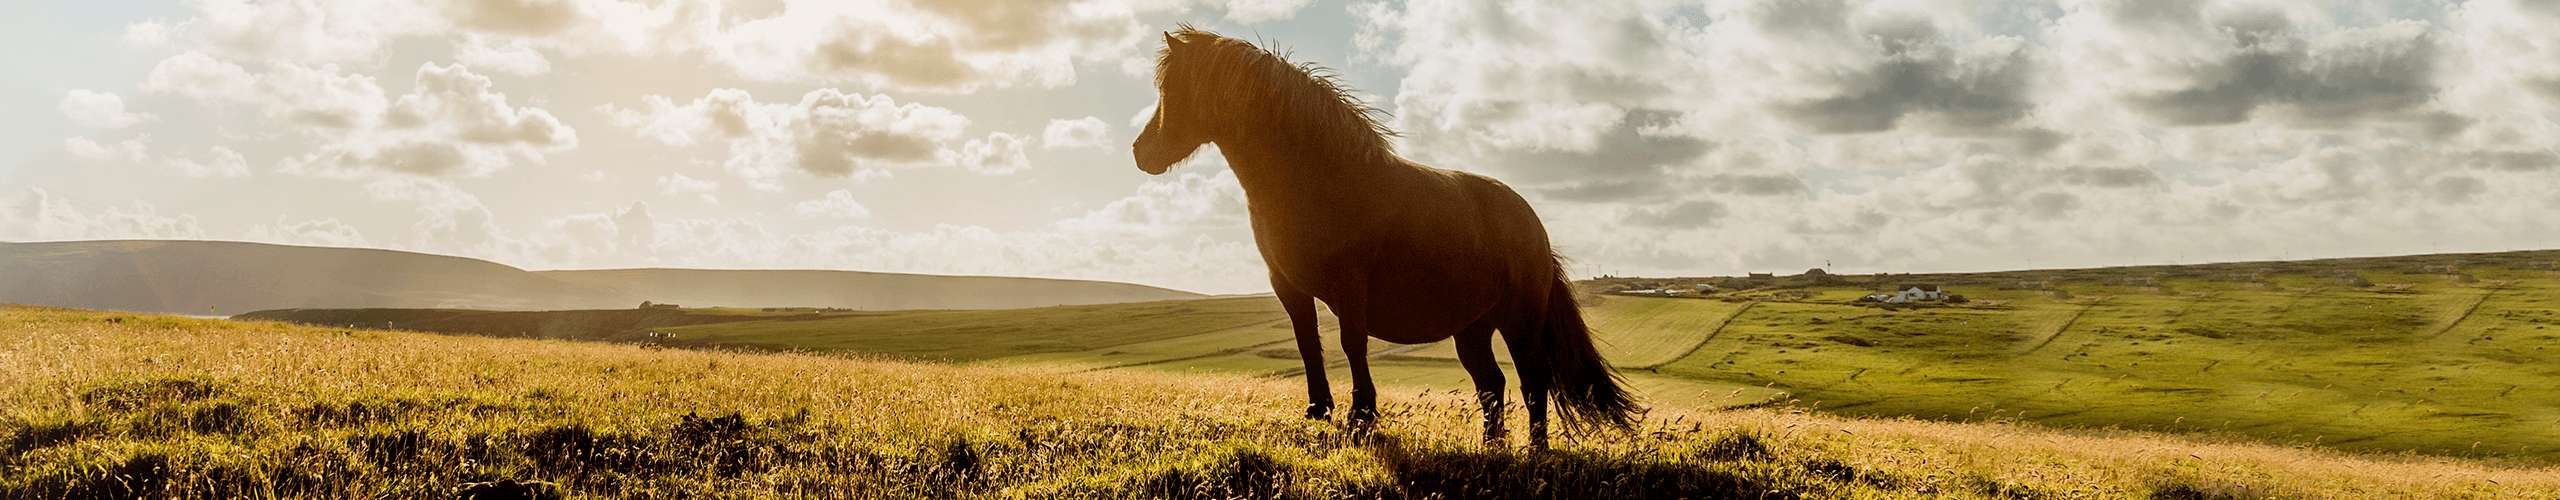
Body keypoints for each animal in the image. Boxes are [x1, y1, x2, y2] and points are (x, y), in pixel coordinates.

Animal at [1136, 25, 1638, 446]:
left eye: (1173, 89)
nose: (1141, 152)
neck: (1314, 179)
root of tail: (1532, 226)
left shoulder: (1349, 286)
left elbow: (1351, 344)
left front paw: (1361, 416)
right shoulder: (1288, 285)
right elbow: (1307, 342)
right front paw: (1319, 409)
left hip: (1520, 322)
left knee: (1533, 382)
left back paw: (1536, 450)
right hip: (1472, 328)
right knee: (1492, 384)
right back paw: (1493, 447)